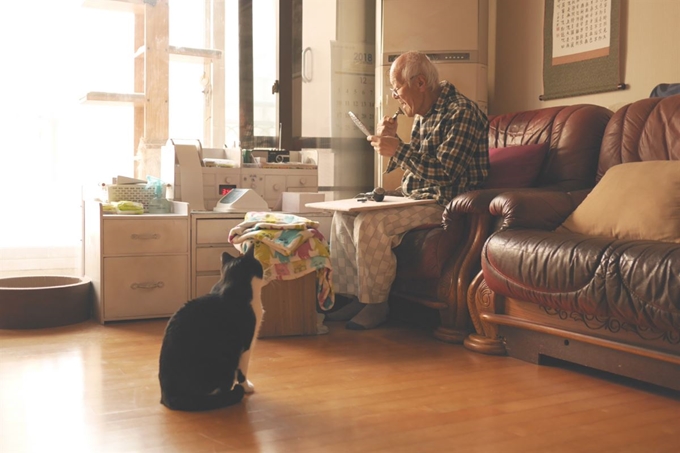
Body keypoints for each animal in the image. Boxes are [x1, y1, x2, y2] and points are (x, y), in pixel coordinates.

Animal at [159, 245, 266, 412]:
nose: (266, 271)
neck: (233, 285)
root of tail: (168, 394)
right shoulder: (246, 345)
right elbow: (243, 370)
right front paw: (247, 387)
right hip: (223, 363)